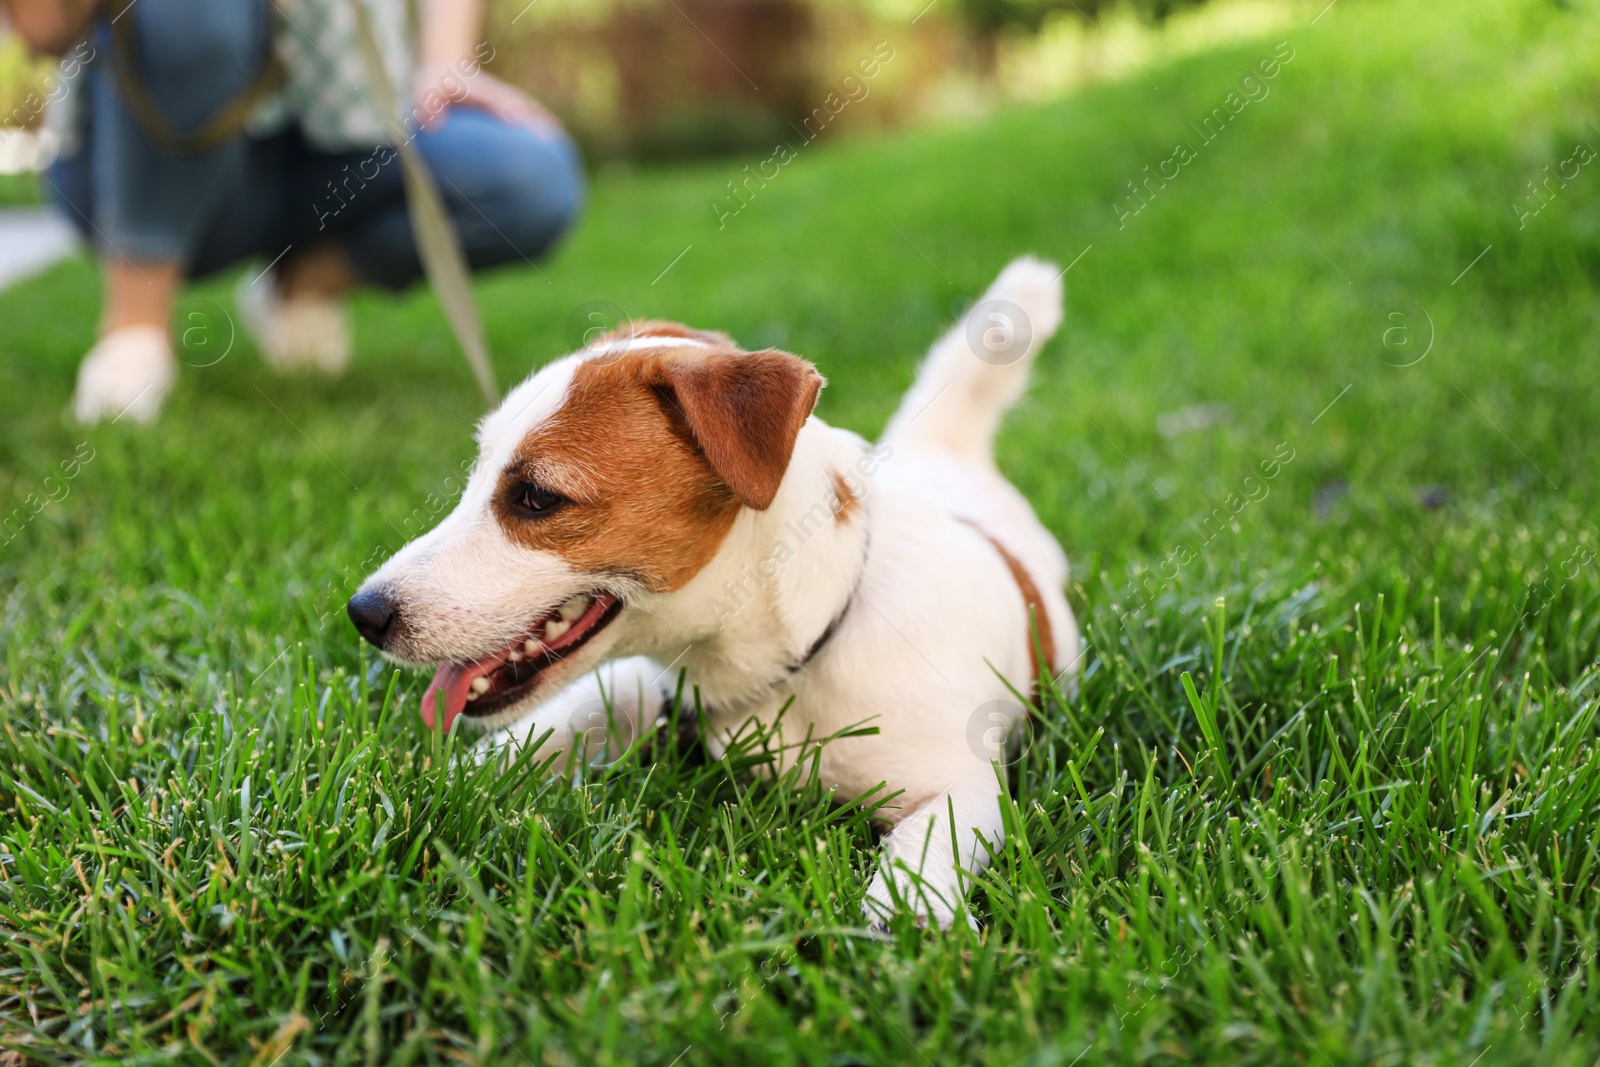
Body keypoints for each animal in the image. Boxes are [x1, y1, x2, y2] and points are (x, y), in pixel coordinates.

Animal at [345, 255, 1081, 927]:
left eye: (535, 496)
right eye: (475, 477)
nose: (363, 613)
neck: (798, 652)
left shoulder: (962, 784)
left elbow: (928, 850)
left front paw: (902, 921)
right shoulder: (632, 687)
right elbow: (530, 735)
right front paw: (429, 783)